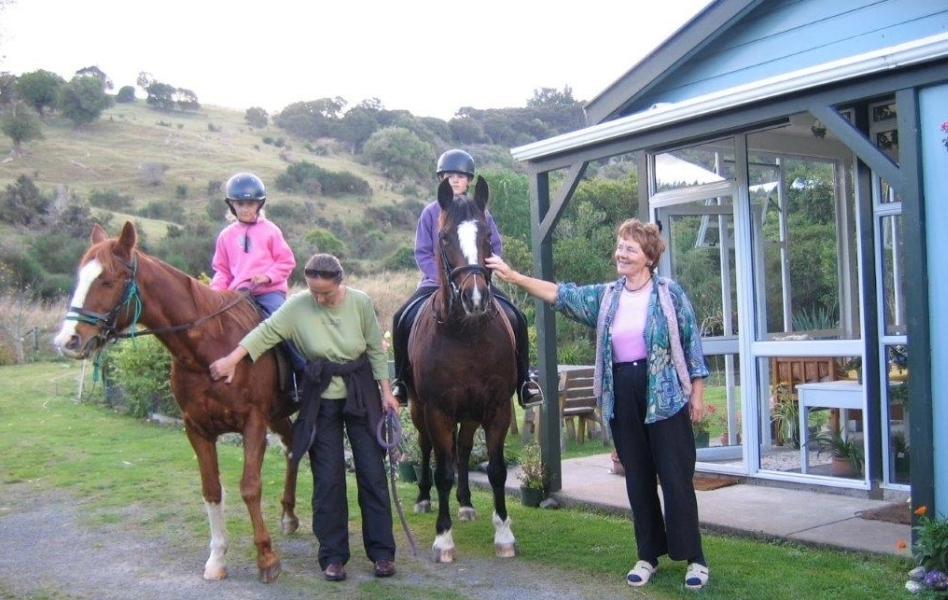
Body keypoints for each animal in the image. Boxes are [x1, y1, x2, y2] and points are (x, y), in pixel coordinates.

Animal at [51, 220, 300, 580]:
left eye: (108, 280)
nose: (67, 340)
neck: (210, 346)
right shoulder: (196, 428)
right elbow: (211, 490)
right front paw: (217, 558)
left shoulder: (253, 422)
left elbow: (250, 486)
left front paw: (267, 558)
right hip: (277, 415)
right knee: (293, 447)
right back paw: (288, 515)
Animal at [404, 176, 516, 560]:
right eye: (444, 238)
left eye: (487, 236)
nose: (476, 298)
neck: (466, 334)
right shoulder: (437, 409)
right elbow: (443, 471)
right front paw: (443, 538)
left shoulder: (498, 406)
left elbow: (496, 470)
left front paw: (504, 533)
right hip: (418, 409)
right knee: (425, 447)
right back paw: (424, 498)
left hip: (469, 411)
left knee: (464, 450)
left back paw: (466, 504)